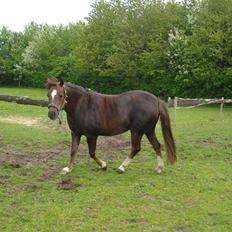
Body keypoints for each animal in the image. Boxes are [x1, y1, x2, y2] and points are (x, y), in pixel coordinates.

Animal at [46, 78, 176, 174]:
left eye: (61, 95)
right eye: (48, 95)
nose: (51, 114)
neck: (82, 105)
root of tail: (156, 100)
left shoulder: (92, 135)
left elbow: (92, 153)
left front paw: (104, 165)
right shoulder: (76, 133)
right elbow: (73, 150)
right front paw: (68, 168)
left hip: (137, 131)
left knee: (136, 148)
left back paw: (121, 167)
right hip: (148, 130)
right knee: (157, 145)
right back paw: (159, 168)